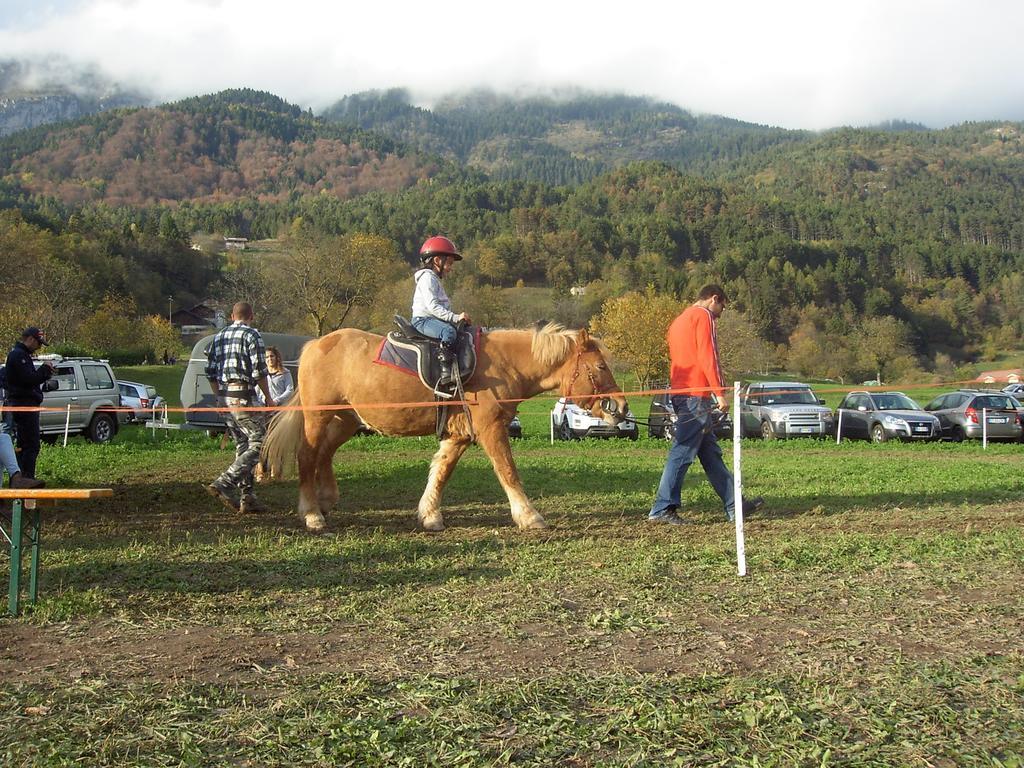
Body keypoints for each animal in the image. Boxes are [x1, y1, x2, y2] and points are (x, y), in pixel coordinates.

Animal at [262, 325, 630, 536]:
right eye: (600, 367)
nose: (622, 407)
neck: (500, 365)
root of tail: (315, 346)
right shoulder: (491, 430)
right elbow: (508, 472)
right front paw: (528, 516)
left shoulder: (458, 436)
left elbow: (440, 472)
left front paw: (429, 515)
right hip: (319, 418)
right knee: (307, 455)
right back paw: (312, 514)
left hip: (346, 420)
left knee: (324, 454)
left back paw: (325, 502)